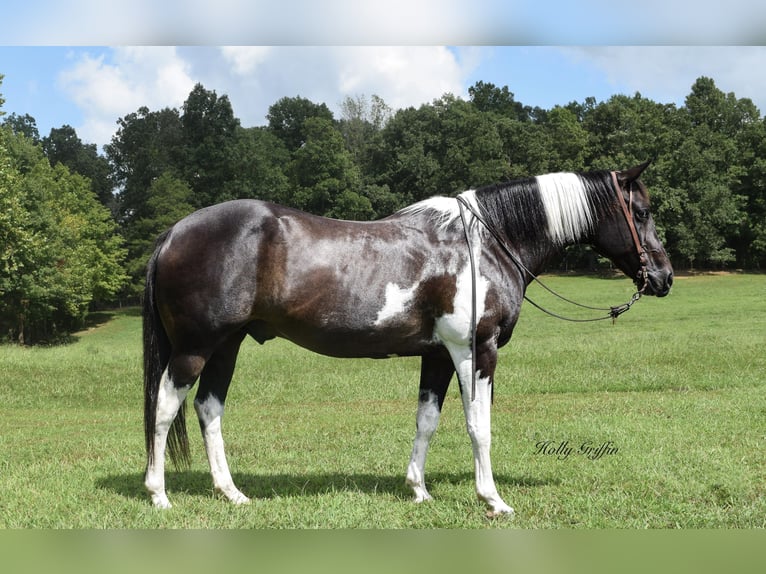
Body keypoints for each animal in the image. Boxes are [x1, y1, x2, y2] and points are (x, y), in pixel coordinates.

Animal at [142, 160, 672, 516]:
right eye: (642, 211)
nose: (664, 277)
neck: (485, 241)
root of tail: (173, 233)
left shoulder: (437, 356)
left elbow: (427, 421)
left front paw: (418, 489)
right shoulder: (475, 351)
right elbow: (479, 426)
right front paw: (493, 499)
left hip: (226, 346)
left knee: (208, 408)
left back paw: (231, 492)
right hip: (194, 347)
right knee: (165, 407)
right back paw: (159, 494)